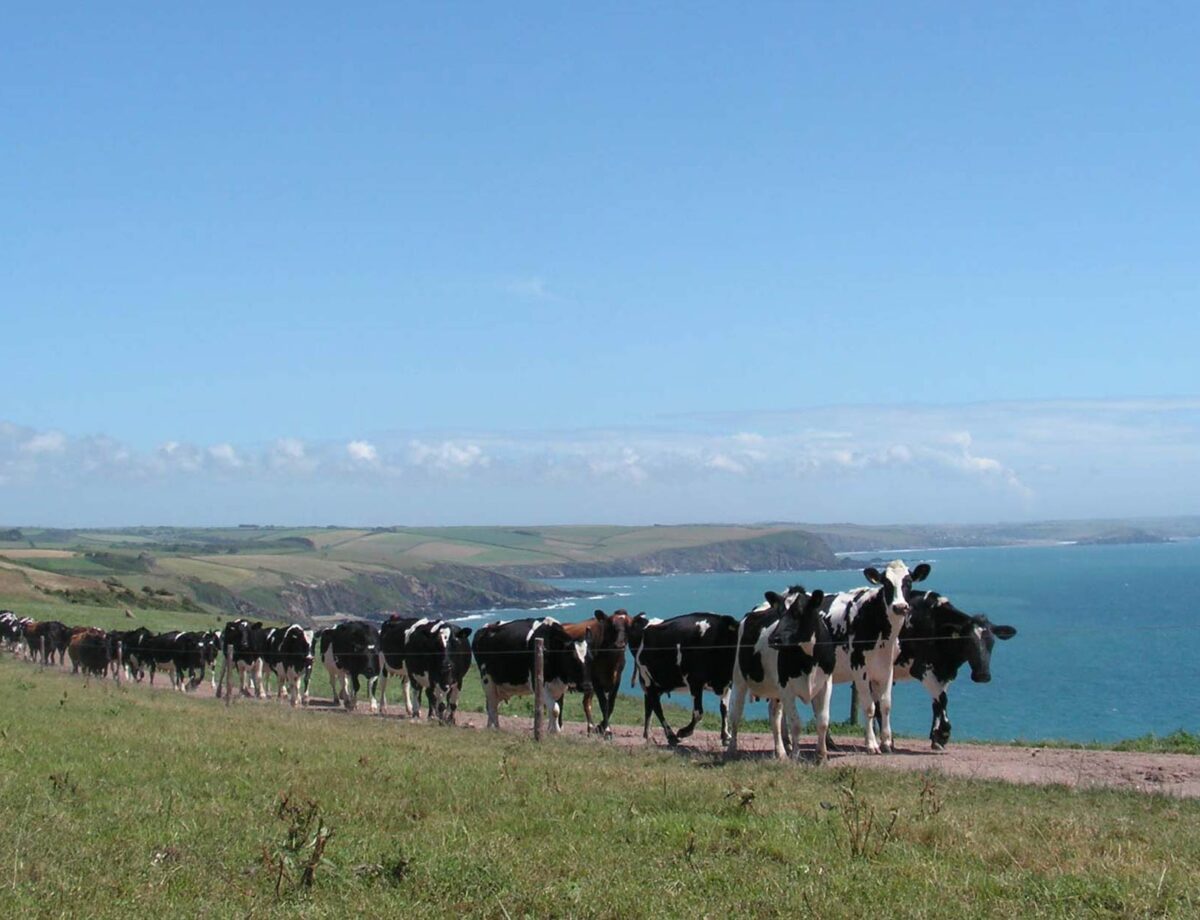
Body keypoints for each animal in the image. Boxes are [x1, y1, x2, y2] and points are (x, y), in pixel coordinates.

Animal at [628, 611, 740, 747]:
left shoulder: (727, 683)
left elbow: (724, 709)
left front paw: (725, 736)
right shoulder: (695, 681)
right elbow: (698, 712)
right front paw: (684, 732)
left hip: (658, 682)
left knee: (649, 704)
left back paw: (648, 734)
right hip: (648, 678)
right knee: (656, 706)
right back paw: (671, 735)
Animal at [727, 587, 832, 761]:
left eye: (799, 612)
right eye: (780, 613)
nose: (774, 639)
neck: (808, 661)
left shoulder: (825, 684)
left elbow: (823, 722)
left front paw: (821, 756)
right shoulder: (786, 688)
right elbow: (796, 724)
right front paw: (795, 756)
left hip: (775, 690)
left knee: (774, 715)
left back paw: (781, 753)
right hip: (739, 679)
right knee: (735, 713)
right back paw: (731, 750)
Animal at [816, 560, 932, 755]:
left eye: (908, 582)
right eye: (886, 584)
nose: (900, 607)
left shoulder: (886, 668)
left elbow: (885, 705)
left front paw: (886, 743)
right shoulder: (859, 668)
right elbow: (870, 707)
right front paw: (871, 744)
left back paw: (828, 743)